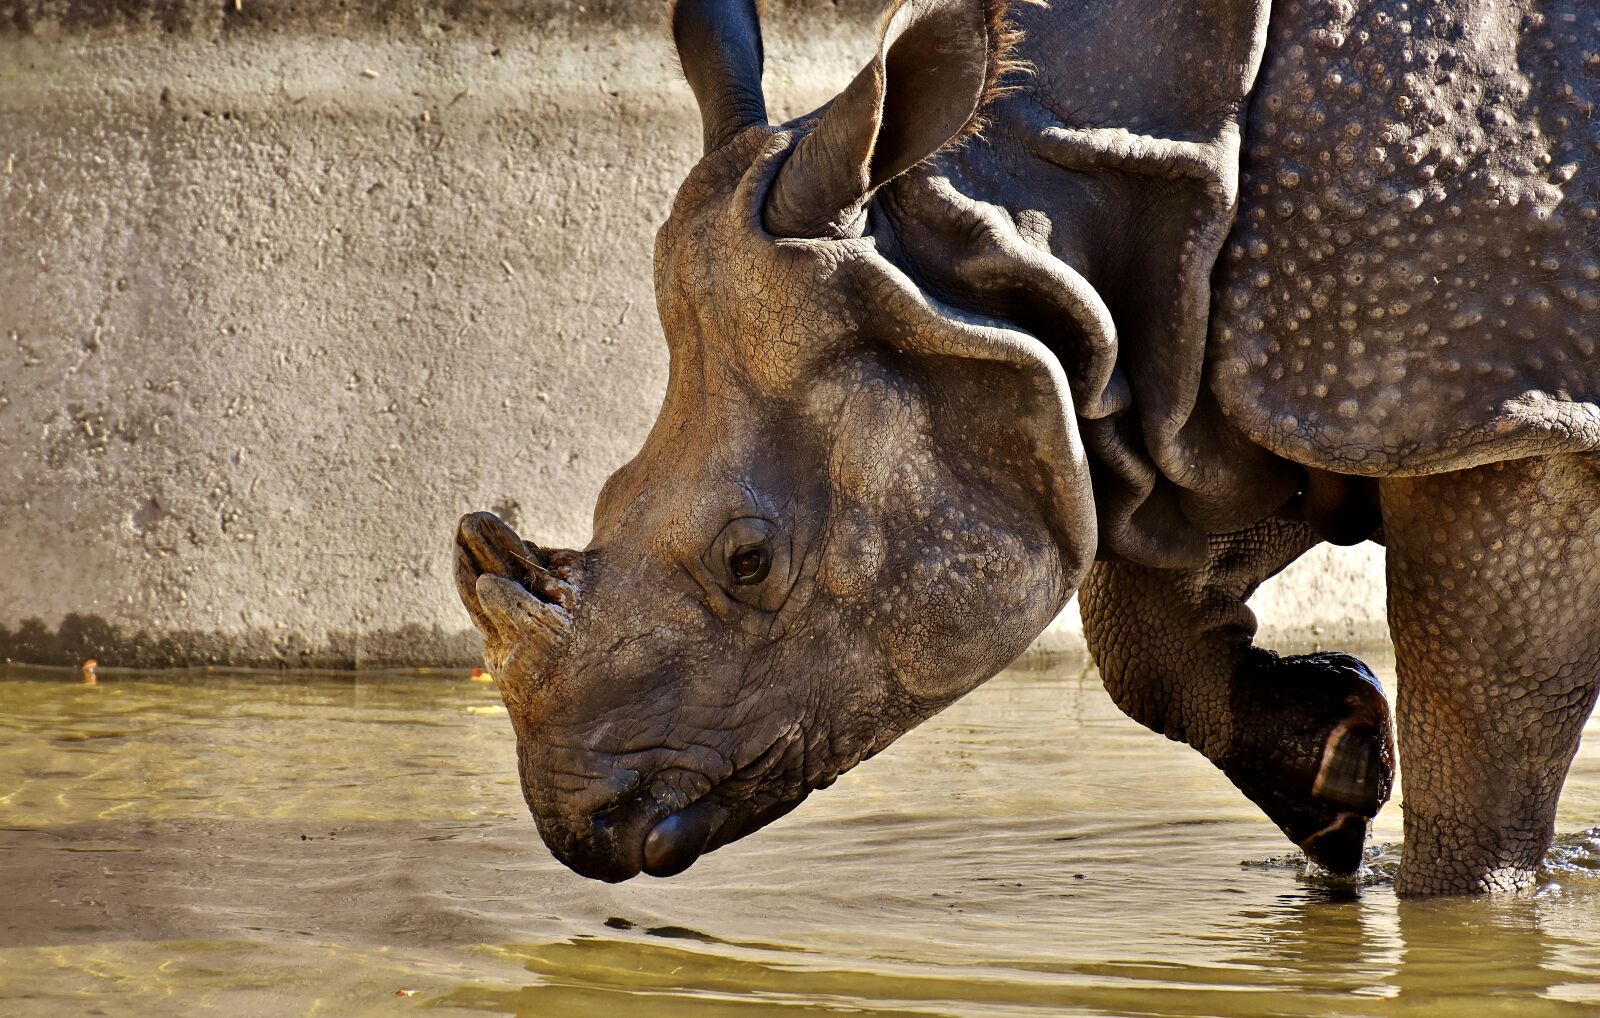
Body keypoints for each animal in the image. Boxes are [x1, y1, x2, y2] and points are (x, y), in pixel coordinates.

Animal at [455, 0, 1600, 896]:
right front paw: (1334, 764)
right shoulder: (1204, 381)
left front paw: (1469, 908)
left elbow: (1485, 743)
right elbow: (1144, 641)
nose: (584, 828)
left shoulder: (1491, 410)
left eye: (748, 561)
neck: (1008, 224)